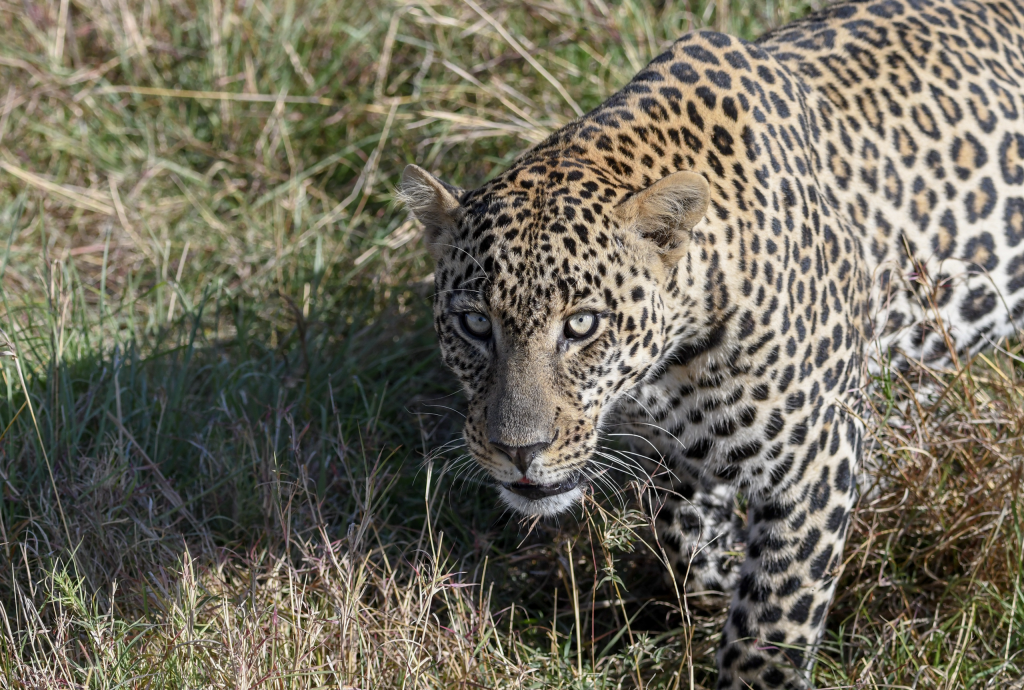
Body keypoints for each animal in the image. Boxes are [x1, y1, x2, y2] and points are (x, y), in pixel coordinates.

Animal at [395, 2, 1024, 683]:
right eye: (475, 324)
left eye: (582, 325)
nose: (519, 451)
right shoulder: (689, 450)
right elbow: (683, 541)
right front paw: (716, 584)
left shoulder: (818, 457)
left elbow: (774, 616)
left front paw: (755, 665)